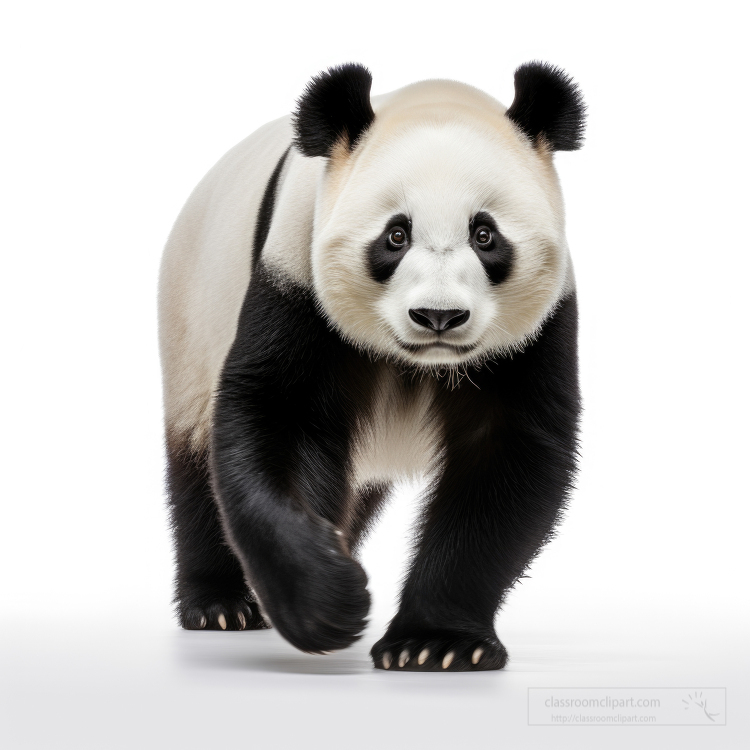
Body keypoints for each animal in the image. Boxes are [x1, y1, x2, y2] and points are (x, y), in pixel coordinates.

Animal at [159, 62, 585, 671]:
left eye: (485, 235)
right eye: (395, 235)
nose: (438, 316)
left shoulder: (538, 330)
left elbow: (506, 461)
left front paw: (434, 643)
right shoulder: (297, 275)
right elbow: (281, 422)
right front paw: (325, 604)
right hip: (194, 313)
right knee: (196, 453)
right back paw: (223, 604)